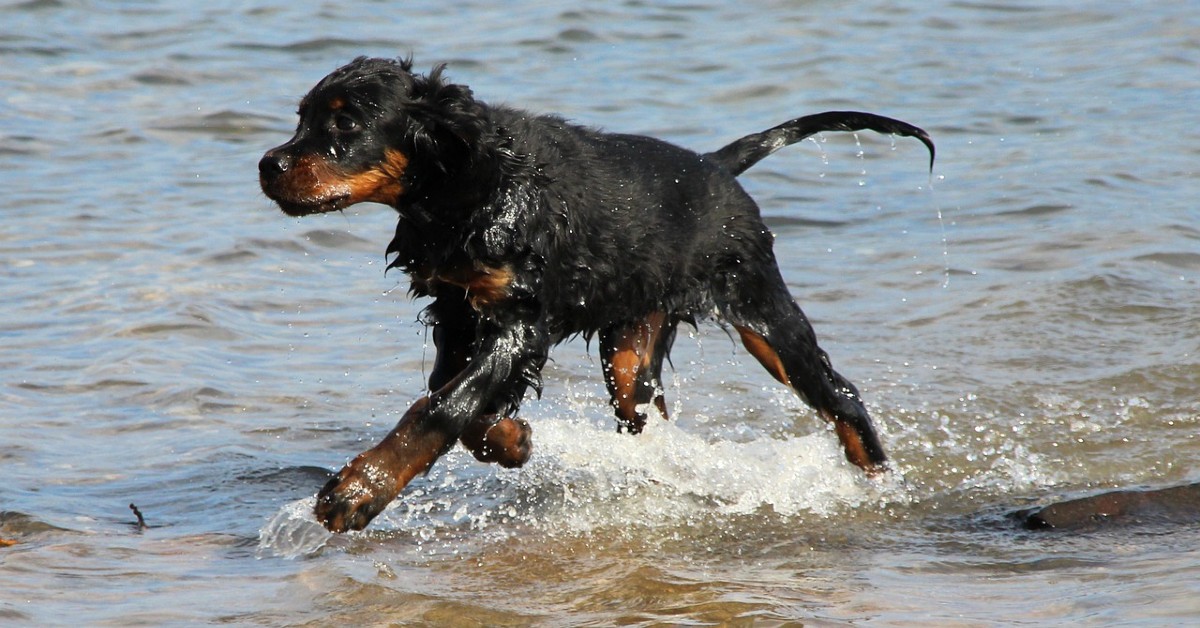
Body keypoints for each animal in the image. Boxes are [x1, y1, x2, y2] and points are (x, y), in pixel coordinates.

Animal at [260, 56, 936, 533]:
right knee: (645, 410)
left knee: (839, 393)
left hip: (757, 304)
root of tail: (717, 166)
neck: (464, 188)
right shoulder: (456, 308)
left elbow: (441, 406)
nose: (268, 166)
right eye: (301, 119)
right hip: (633, 345)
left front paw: (359, 488)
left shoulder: (519, 317)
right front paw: (512, 441)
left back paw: (879, 478)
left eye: (346, 123)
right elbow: (454, 396)